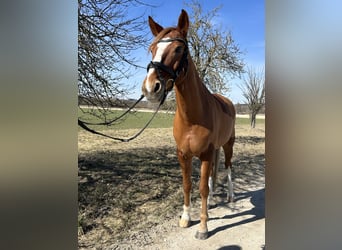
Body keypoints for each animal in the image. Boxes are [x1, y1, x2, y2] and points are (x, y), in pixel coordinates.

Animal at [142, 9, 235, 240]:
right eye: (152, 49)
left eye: (178, 48)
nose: (150, 88)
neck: (192, 117)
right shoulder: (183, 154)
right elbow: (187, 185)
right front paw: (186, 218)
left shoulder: (205, 154)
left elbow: (201, 187)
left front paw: (202, 227)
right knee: (212, 174)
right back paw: (210, 204)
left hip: (228, 145)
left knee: (228, 168)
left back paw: (230, 196)